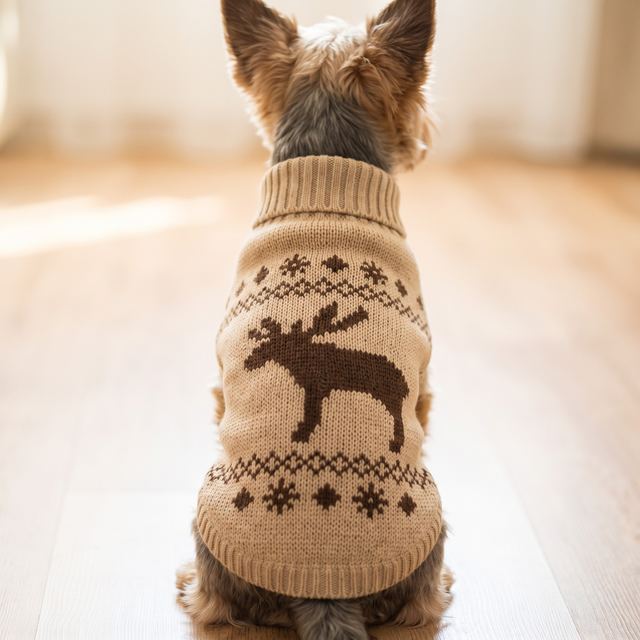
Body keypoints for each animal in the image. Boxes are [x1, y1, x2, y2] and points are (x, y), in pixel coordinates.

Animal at [244, 302, 410, 453]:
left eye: (278, 344)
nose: (248, 361)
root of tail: (404, 384)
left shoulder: (315, 387)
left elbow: (312, 413)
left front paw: (301, 434)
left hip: (390, 398)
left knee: (398, 420)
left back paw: (395, 445)